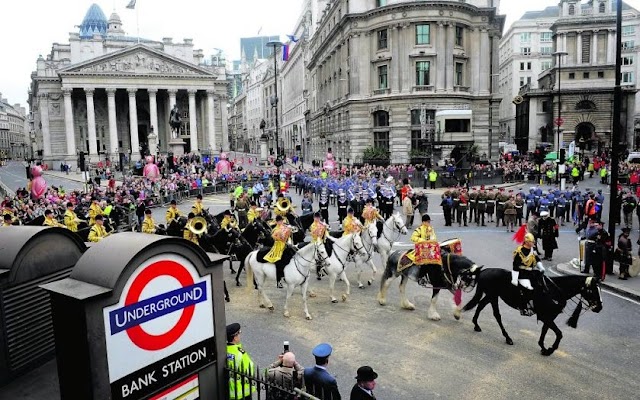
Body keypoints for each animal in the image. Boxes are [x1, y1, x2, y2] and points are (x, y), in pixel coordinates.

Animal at [462, 268, 604, 356]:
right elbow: (559, 333)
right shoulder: (545, 316)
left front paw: (543, 348)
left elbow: (546, 331)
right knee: (496, 315)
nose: (599, 307)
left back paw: (476, 325)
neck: (554, 290)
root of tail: (484, 271)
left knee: (481, 306)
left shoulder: (549, 317)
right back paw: (507, 338)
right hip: (492, 296)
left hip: (491, 296)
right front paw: (550, 350)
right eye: (593, 290)